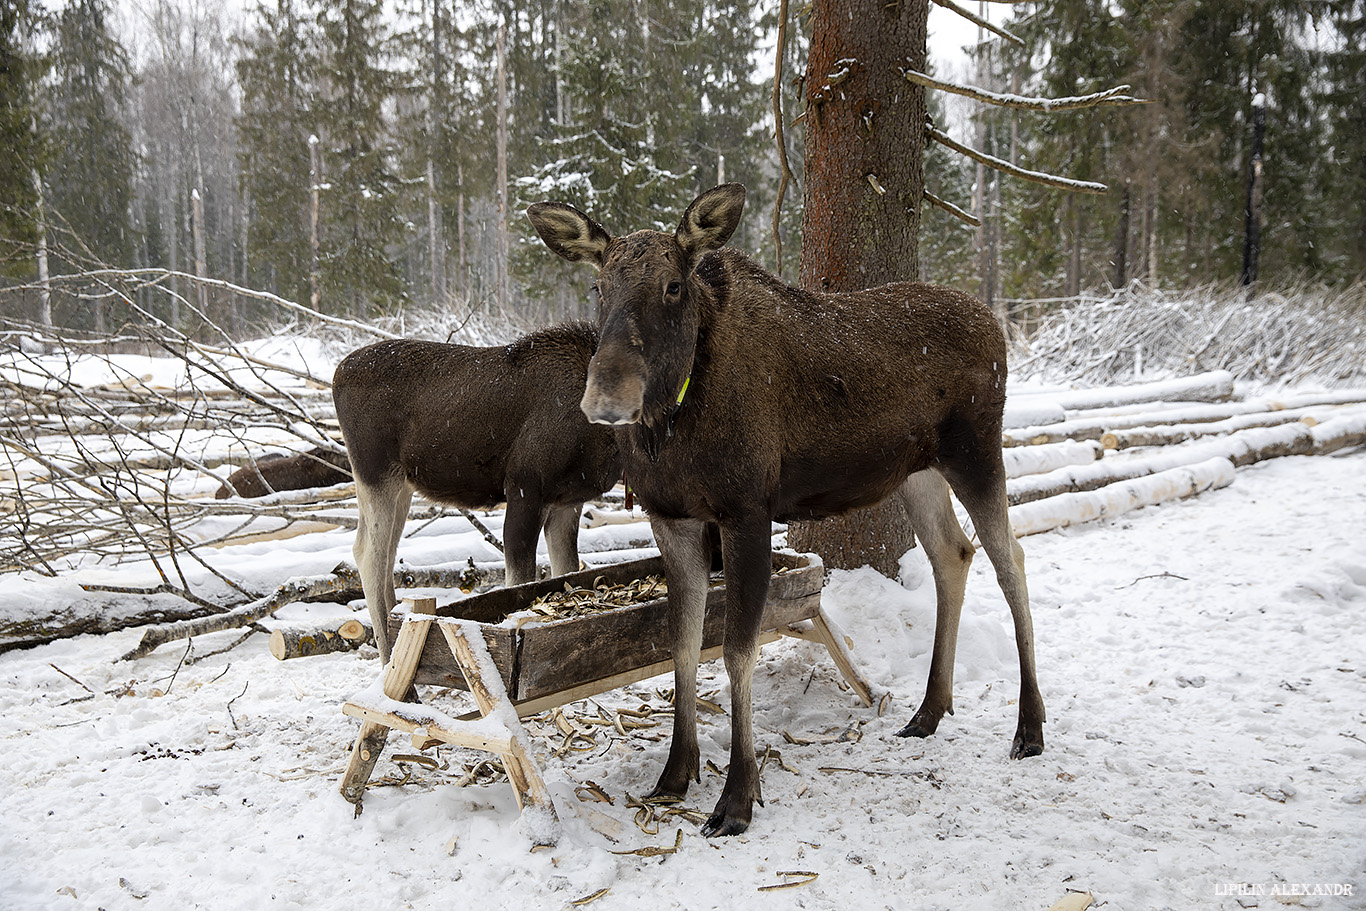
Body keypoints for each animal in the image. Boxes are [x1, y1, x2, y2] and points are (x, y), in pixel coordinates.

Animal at [333, 323, 622, 666]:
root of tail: (336, 374)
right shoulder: (526, 487)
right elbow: (519, 580)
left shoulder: (568, 501)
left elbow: (565, 570)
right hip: (375, 471)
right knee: (367, 553)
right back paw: (390, 656)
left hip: (401, 483)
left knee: (387, 553)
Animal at [530, 185, 1043, 841]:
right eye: (598, 287)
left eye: (673, 285)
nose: (604, 398)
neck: (670, 427)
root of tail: (995, 323)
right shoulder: (672, 517)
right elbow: (682, 643)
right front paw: (676, 773)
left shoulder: (747, 510)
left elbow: (735, 650)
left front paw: (737, 796)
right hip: (918, 470)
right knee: (953, 553)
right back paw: (929, 711)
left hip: (976, 449)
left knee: (1013, 559)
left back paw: (1029, 727)